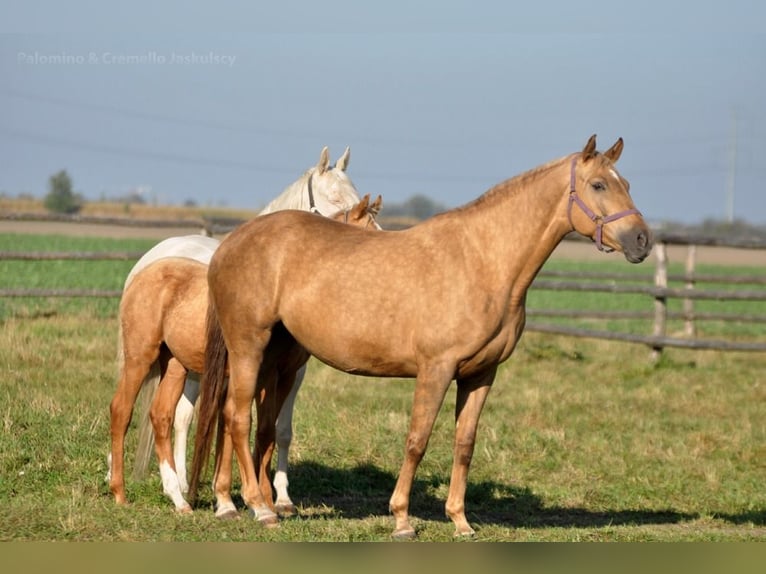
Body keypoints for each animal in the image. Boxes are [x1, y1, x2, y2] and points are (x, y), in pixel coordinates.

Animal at [108, 146, 378, 513]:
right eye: (333, 197)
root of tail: (152, 260)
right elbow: (239, 423)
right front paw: (242, 498)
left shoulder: (289, 372)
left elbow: (276, 429)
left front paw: (278, 497)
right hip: (146, 357)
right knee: (133, 410)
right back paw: (122, 483)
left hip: (181, 366)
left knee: (172, 415)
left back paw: (178, 489)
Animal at [188, 135, 652, 538]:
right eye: (598, 184)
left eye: (627, 184)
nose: (642, 240)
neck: (482, 261)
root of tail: (232, 240)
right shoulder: (435, 370)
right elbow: (417, 441)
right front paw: (402, 520)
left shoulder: (481, 375)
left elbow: (464, 443)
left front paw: (461, 521)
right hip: (248, 347)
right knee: (238, 417)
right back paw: (259, 508)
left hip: (275, 355)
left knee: (248, 421)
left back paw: (239, 502)